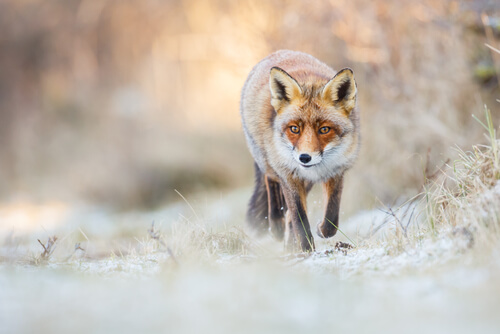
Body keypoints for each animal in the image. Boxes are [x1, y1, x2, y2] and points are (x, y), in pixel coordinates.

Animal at [240, 49, 358, 252]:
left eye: (324, 129)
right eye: (294, 129)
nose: (304, 158)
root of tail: (279, 52)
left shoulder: (335, 172)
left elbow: (331, 218)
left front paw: (320, 231)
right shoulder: (289, 175)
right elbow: (300, 218)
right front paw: (306, 249)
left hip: (307, 182)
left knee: (288, 213)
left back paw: (288, 243)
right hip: (268, 161)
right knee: (271, 182)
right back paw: (277, 227)